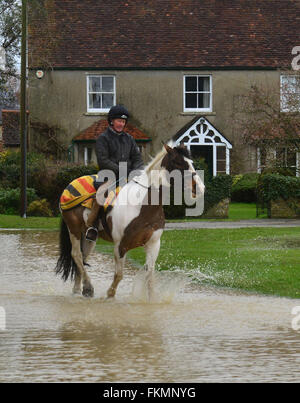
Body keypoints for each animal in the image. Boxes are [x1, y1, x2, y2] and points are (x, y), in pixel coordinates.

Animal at [54, 144, 204, 300]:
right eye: (178, 163)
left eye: (191, 162)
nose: (200, 188)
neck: (142, 205)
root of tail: (69, 187)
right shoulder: (121, 245)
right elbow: (119, 275)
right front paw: (110, 295)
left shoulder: (153, 244)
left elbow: (150, 275)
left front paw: (152, 300)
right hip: (74, 230)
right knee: (76, 255)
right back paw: (88, 287)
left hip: (88, 237)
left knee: (82, 258)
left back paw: (79, 289)